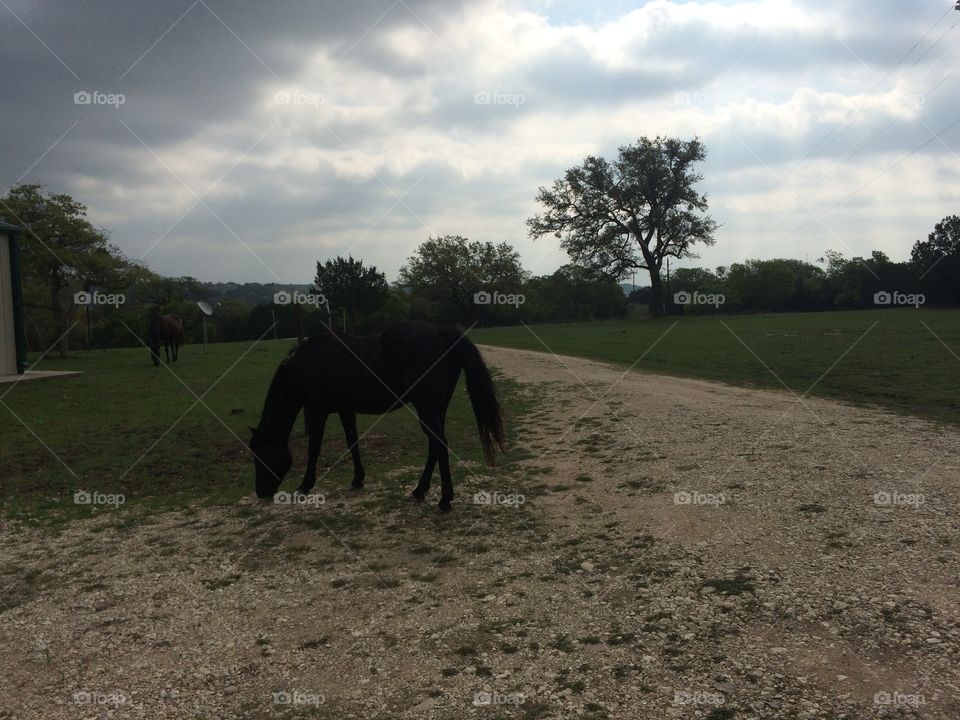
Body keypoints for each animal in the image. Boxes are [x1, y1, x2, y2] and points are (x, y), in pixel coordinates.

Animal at [251, 320, 506, 512]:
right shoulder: (345, 410)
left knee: (439, 444)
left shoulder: (316, 410)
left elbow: (314, 448)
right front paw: (357, 479)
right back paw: (419, 490)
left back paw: (444, 500)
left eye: (260, 455)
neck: (308, 362)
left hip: (426, 408)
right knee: (435, 445)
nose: (261, 492)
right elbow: (352, 442)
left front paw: (305, 485)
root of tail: (440, 332)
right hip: (438, 408)